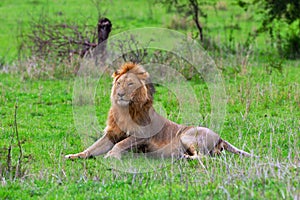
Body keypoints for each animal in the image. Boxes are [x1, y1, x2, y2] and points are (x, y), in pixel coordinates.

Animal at [64, 62, 252, 159]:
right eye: (118, 83)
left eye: (130, 84)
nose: (120, 94)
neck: (125, 110)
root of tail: (220, 137)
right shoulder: (111, 134)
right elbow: (92, 148)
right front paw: (74, 155)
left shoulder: (143, 136)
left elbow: (121, 144)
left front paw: (112, 155)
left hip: (187, 135)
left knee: (203, 157)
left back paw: (183, 157)